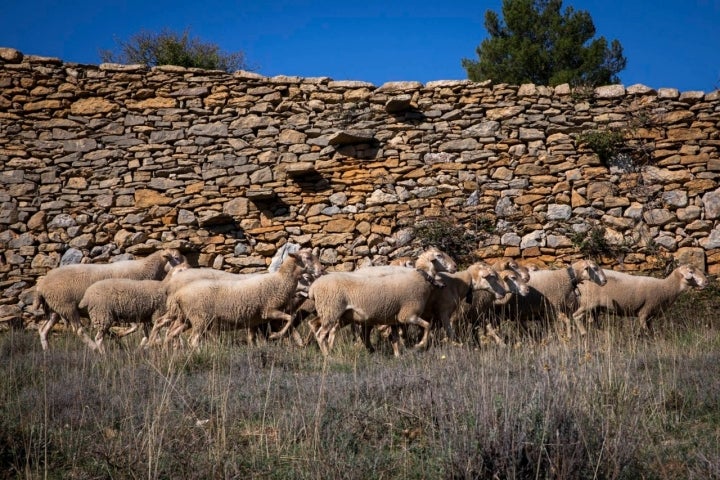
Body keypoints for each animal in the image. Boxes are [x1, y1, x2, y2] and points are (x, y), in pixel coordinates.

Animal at [33, 248, 186, 348]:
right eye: (176, 258)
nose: (188, 268)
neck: (145, 268)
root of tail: (41, 286)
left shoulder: (136, 306)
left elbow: (140, 328)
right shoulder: (130, 302)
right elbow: (136, 326)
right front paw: (119, 337)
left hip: (54, 308)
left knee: (43, 330)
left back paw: (47, 351)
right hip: (67, 306)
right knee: (79, 330)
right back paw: (95, 347)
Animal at [572, 262, 708, 334]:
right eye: (691, 272)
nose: (706, 281)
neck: (666, 287)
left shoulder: (651, 315)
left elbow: (651, 329)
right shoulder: (645, 310)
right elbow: (645, 331)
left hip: (595, 307)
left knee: (592, 321)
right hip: (587, 302)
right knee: (576, 316)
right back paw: (584, 333)